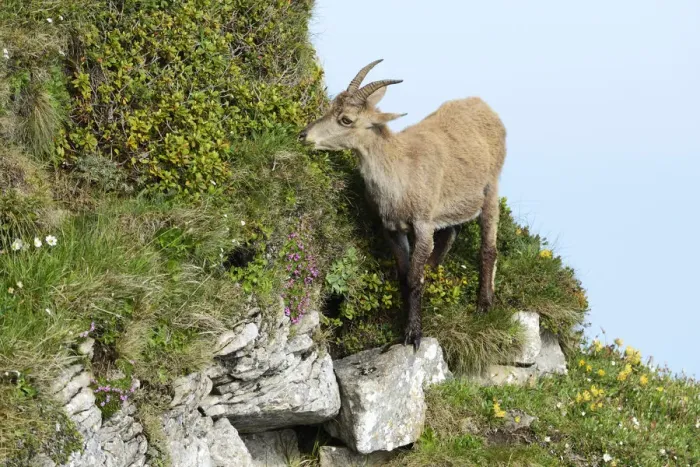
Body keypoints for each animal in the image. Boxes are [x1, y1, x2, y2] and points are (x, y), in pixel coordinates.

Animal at [299, 59, 507, 350]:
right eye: (332, 107)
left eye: (346, 119)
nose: (303, 135)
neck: (400, 169)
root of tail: (484, 106)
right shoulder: (392, 228)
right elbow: (403, 277)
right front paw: (403, 328)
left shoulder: (422, 224)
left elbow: (414, 278)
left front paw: (413, 334)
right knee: (451, 233)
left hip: (490, 189)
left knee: (488, 248)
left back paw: (484, 305)